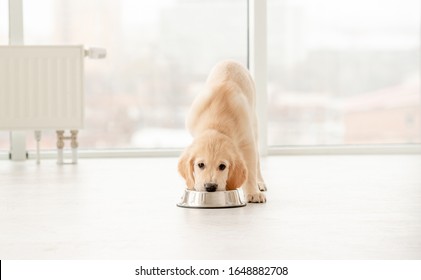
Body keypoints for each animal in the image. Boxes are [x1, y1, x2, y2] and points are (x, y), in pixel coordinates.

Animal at [177, 60, 266, 202]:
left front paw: (253, 192)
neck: (216, 124)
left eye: (222, 166)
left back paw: (260, 182)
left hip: (254, 123)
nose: (210, 187)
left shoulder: (247, 142)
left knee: (257, 160)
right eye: (200, 165)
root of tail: (230, 60)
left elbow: (250, 170)